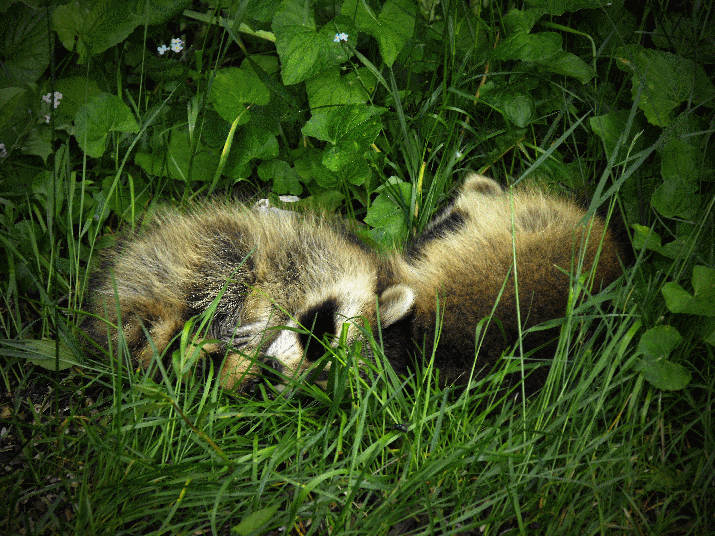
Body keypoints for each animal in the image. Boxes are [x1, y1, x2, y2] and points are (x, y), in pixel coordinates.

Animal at [82, 204, 414, 392]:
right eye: (321, 337)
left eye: (318, 379)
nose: (271, 371)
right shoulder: (297, 253)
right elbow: (251, 280)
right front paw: (265, 320)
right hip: (179, 257)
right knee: (225, 268)